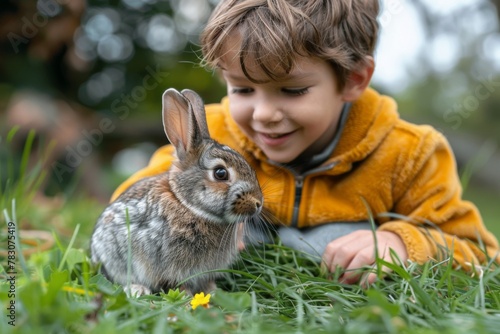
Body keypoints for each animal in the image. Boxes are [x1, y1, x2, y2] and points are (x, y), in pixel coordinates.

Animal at [90, 88, 264, 294]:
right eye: (220, 173)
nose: (258, 203)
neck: (187, 205)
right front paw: (188, 297)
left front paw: (214, 292)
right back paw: (138, 289)